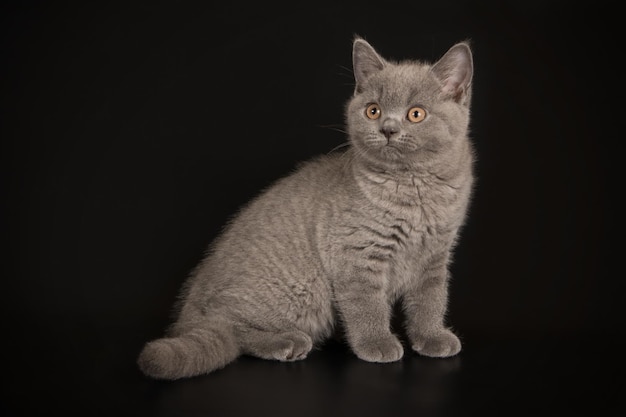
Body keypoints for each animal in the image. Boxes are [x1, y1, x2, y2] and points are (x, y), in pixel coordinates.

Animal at [138, 37, 472, 378]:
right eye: (373, 110)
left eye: (416, 114)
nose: (388, 129)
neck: (414, 188)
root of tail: (188, 313)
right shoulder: (355, 254)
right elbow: (366, 305)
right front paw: (376, 343)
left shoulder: (435, 255)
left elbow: (430, 300)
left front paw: (432, 337)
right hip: (299, 290)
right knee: (228, 329)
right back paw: (287, 342)